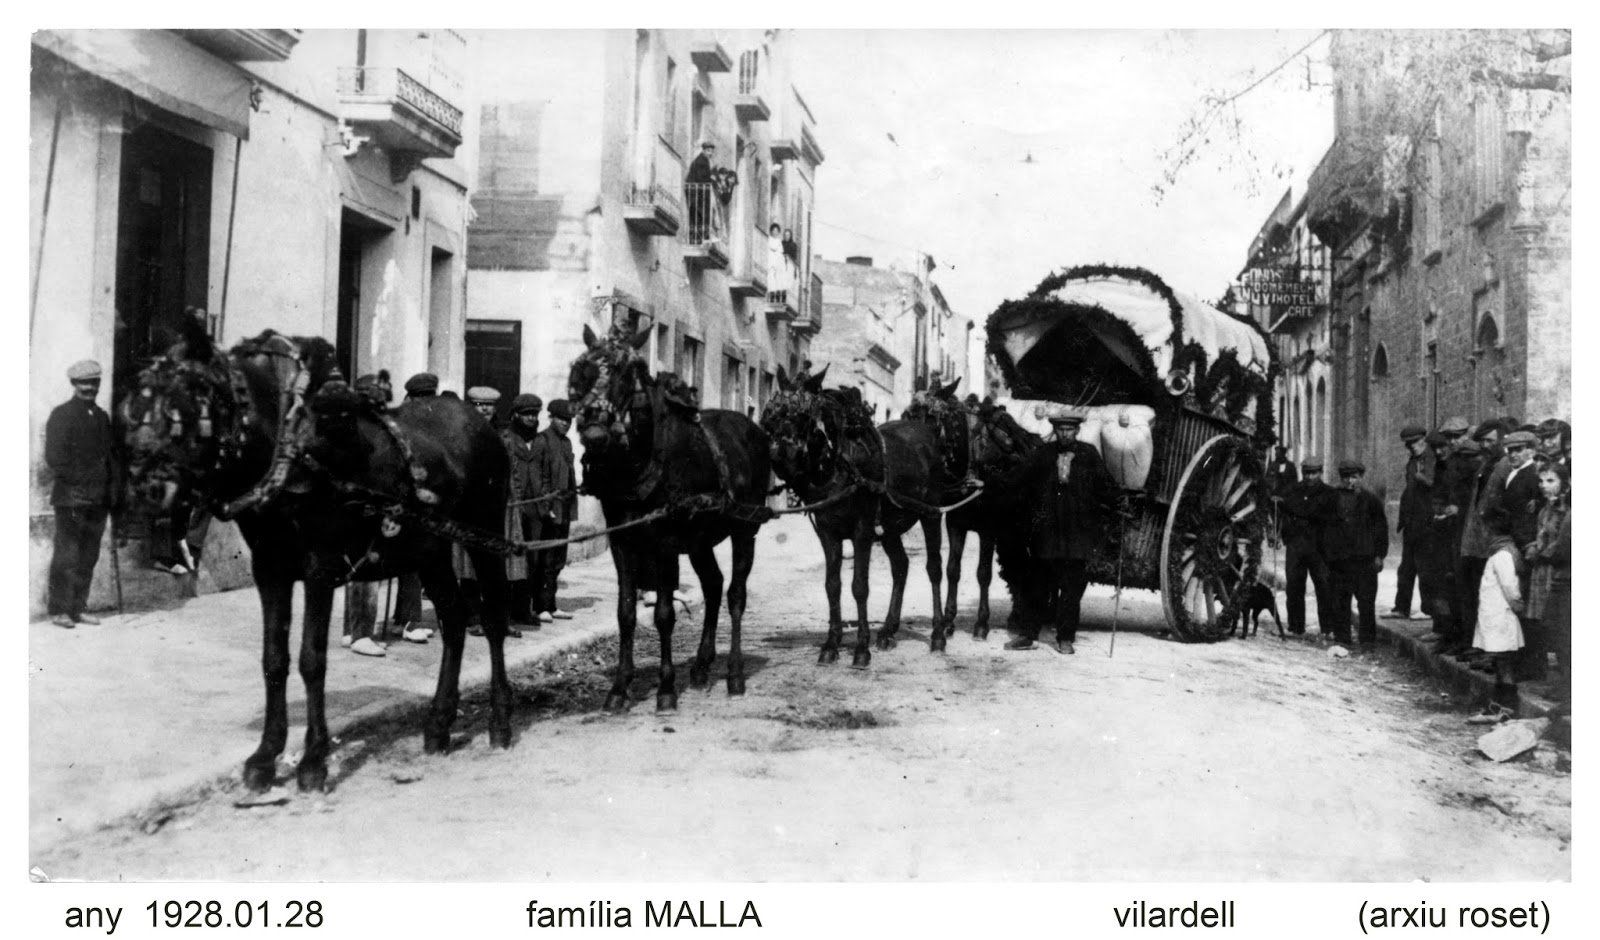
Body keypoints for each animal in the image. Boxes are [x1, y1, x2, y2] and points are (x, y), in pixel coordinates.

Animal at [121, 318, 515, 792]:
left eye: (187, 403)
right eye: (135, 404)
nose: (146, 488)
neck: (292, 450)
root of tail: (478, 420)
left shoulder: (321, 568)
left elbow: (312, 659)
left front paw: (312, 760)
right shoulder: (269, 568)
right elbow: (274, 660)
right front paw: (264, 758)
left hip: (486, 533)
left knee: (492, 620)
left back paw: (500, 721)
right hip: (431, 551)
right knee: (455, 622)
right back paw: (438, 725)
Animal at [566, 321, 771, 703]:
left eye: (625, 372)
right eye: (581, 370)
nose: (595, 431)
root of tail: (754, 430)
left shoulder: (664, 541)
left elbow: (664, 613)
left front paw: (665, 688)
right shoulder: (622, 540)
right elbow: (626, 613)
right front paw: (620, 687)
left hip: (744, 528)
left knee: (735, 594)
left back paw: (734, 673)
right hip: (700, 539)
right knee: (713, 585)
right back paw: (702, 665)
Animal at [758, 367, 947, 661]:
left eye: (803, 415)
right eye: (773, 414)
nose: (781, 454)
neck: (838, 464)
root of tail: (927, 432)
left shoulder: (863, 531)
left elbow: (859, 586)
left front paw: (861, 647)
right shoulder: (828, 533)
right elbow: (832, 585)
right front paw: (831, 644)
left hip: (931, 515)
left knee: (934, 568)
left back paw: (938, 634)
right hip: (889, 528)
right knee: (901, 566)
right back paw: (888, 631)